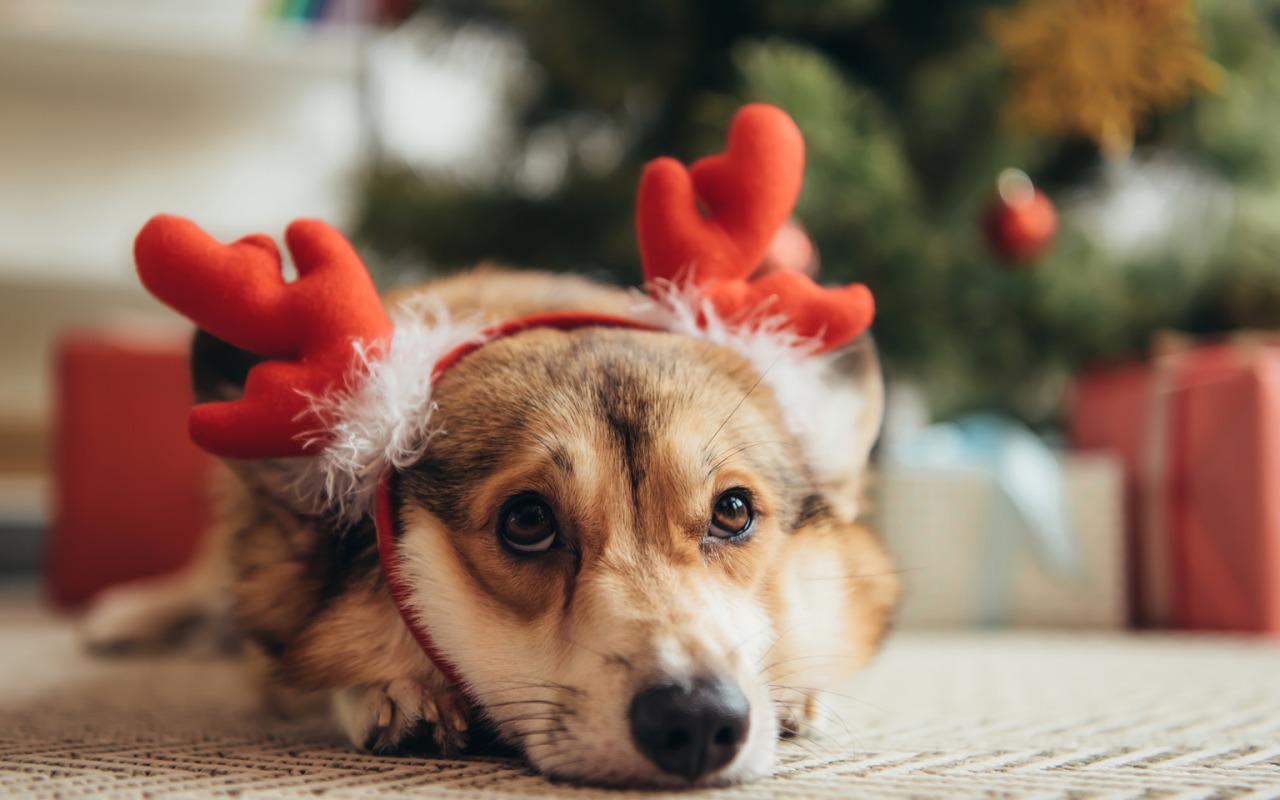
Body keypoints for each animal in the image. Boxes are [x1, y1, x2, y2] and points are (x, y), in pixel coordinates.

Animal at [82, 103, 901, 783]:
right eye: (527, 521)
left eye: (733, 512)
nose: (699, 724)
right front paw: (394, 687)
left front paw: (796, 695)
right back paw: (126, 616)